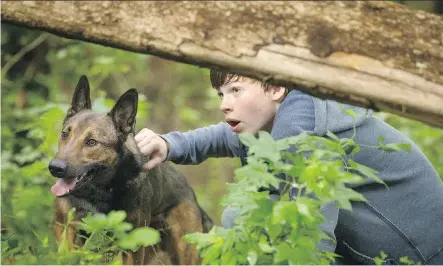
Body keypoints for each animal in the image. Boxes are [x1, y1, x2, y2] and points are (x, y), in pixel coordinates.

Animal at [48, 76, 213, 264]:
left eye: (91, 142)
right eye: (64, 134)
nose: (55, 168)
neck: (99, 193)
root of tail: (191, 193)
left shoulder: (132, 245)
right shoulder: (66, 232)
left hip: (183, 252)